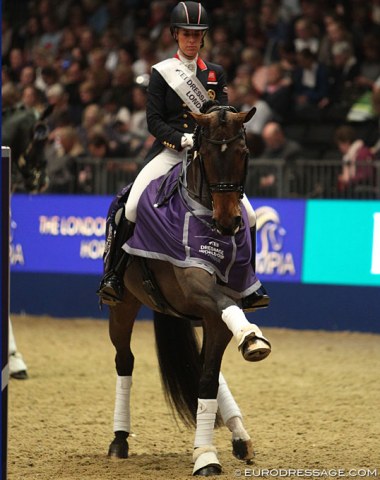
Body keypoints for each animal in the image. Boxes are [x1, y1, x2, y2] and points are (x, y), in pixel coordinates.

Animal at [104, 102, 270, 476]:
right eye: (204, 154)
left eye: (243, 153)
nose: (228, 222)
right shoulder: (197, 286)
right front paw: (252, 338)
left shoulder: (215, 312)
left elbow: (207, 378)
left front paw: (206, 452)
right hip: (123, 306)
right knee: (124, 361)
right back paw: (119, 439)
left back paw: (240, 437)